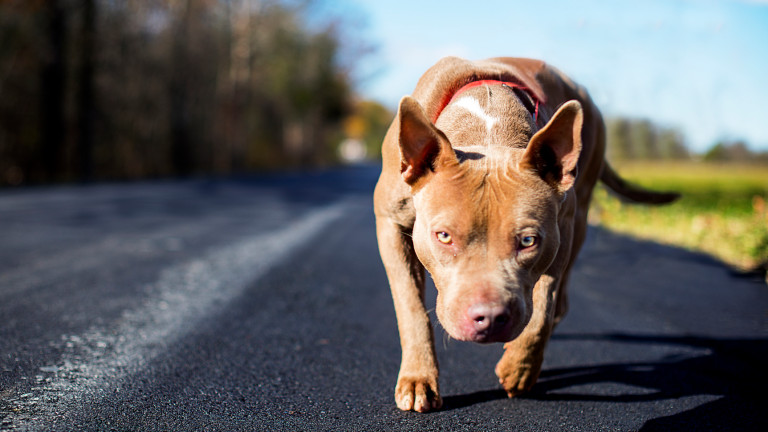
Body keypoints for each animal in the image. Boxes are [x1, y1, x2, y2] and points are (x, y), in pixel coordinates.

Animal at [372, 56, 680, 412]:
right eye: (444, 236)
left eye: (528, 241)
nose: (490, 318)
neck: (487, 130)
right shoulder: (390, 224)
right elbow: (410, 307)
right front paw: (418, 378)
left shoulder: (561, 230)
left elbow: (544, 305)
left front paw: (520, 367)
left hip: (582, 215)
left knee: (559, 303)